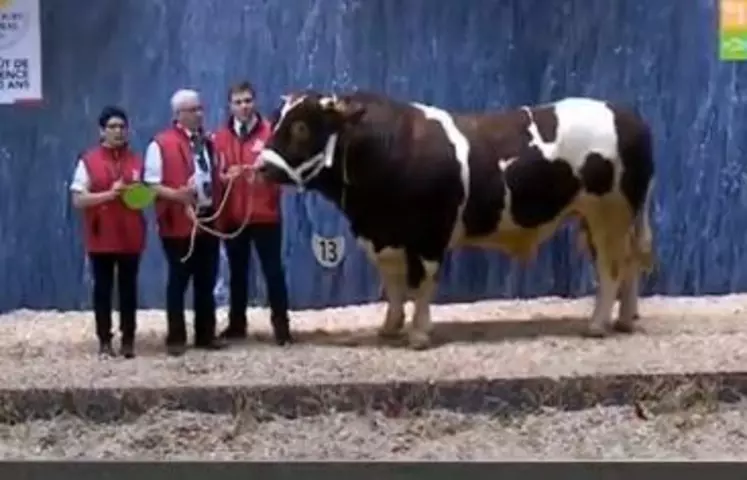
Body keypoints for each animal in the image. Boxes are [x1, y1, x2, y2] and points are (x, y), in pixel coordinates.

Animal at [256, 91, 656, 348]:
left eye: (301, 128)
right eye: (275, 122)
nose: (260, 166)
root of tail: (627, 115)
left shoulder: (430, 234)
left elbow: (422, 281)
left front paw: (419, 334)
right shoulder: (384, 237)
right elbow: (394, 283)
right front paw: (390, 327)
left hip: (609, 216)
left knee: (611, 268)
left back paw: (598, 325)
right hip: (603, 219)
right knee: (629, 264)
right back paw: (624, 320)